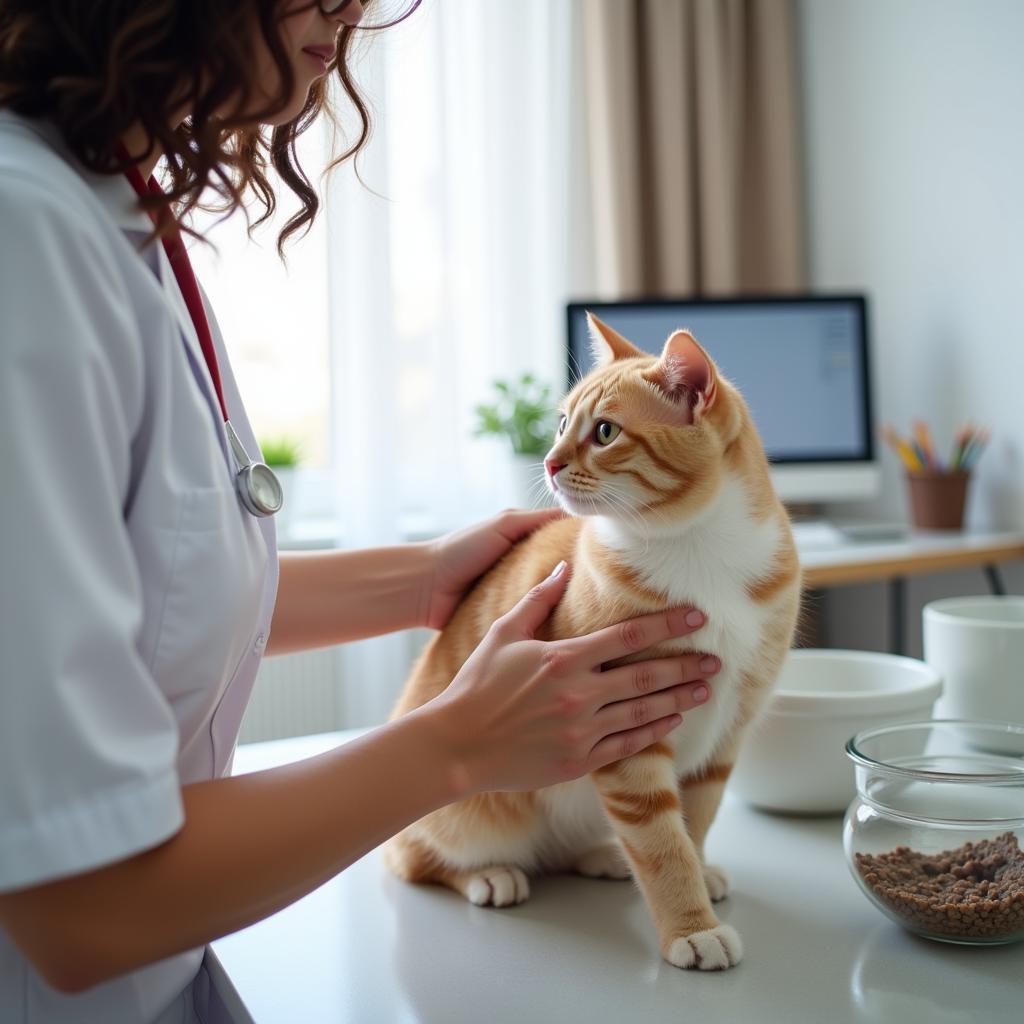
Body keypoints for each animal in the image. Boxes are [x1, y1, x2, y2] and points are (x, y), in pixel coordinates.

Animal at [382, 315, 798, 970]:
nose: (549, 462)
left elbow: (698, 817)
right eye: (559, 425)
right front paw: (690, 927)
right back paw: (487, 876)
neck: (699, 550)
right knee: (412, 859)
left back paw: (598, 856)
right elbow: (661, 843)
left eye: (604, 431)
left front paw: (700, 871)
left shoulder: (729, 729)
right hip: (465, 822)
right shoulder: (626, 736)